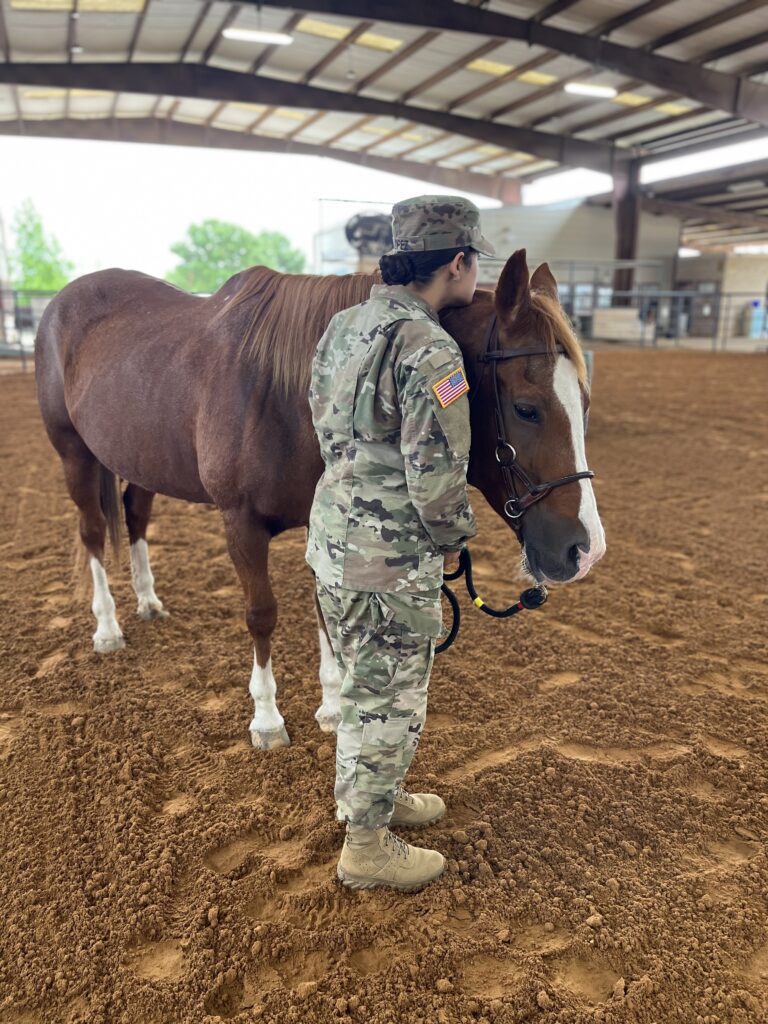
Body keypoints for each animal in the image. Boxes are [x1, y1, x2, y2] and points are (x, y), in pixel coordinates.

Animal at [36, 253, 606, 753]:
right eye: (526, 408)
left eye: (584, 401)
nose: (585, 550)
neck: (288, 391)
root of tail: (62, 300)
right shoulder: (240, 523)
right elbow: (262, 614)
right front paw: (267, 720)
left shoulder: (326, 525)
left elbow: (325, 613)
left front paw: (332, 709)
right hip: (74, 454)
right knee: (92, 533)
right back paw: (107, 628)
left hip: (138, 459)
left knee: (135, 516)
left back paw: (149, 601)